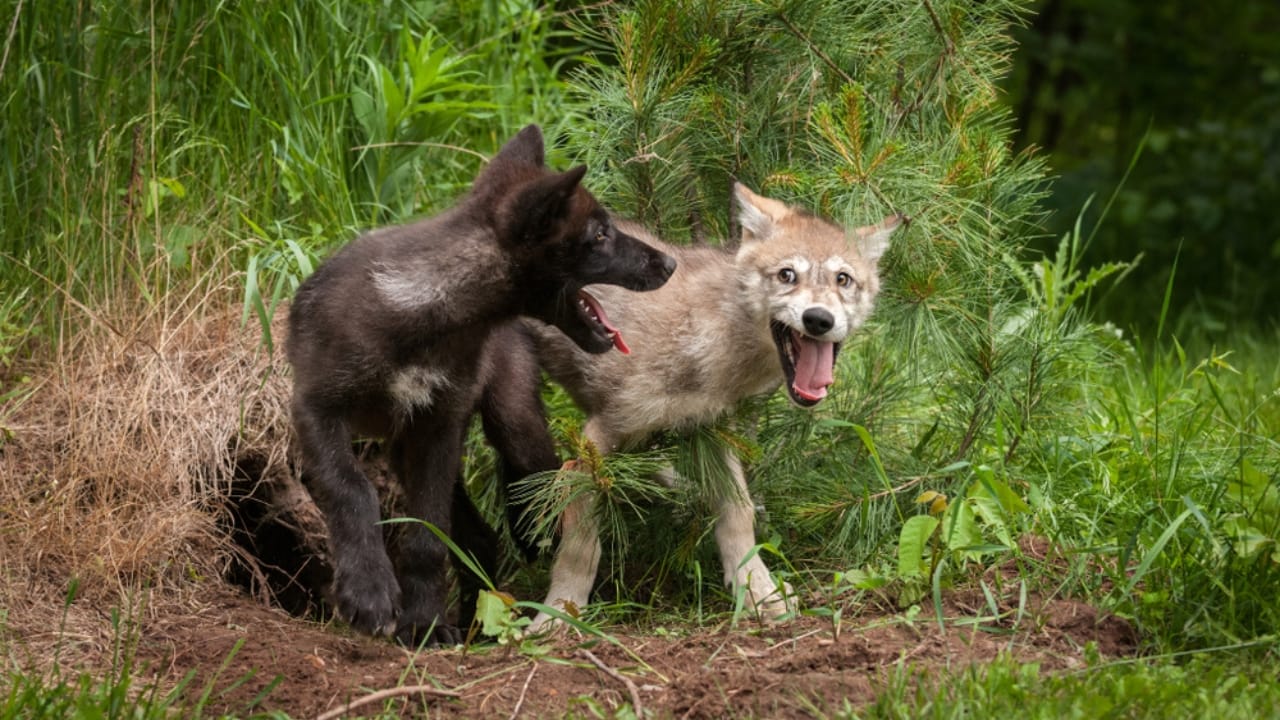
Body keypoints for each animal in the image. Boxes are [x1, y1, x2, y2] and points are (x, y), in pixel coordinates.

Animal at [286, 125, 676, 646]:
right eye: (600, 234)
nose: (669, 262)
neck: (425, 311)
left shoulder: (437, 429)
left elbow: (428, 536)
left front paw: (424, 624)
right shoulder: (317, 408)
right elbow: (351, 487)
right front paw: (369, 593)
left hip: (515, 430)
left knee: (525, 506)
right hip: (401, 448)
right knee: (478, 535)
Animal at [501, 183, 902, 629]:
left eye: (843, 279)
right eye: (787, 275)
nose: (818, 319)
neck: (708, 337)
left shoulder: (710, 429)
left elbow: (738, 514)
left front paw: (759, 591)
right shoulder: (594, 446)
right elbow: (580, 543)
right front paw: (560, 612)